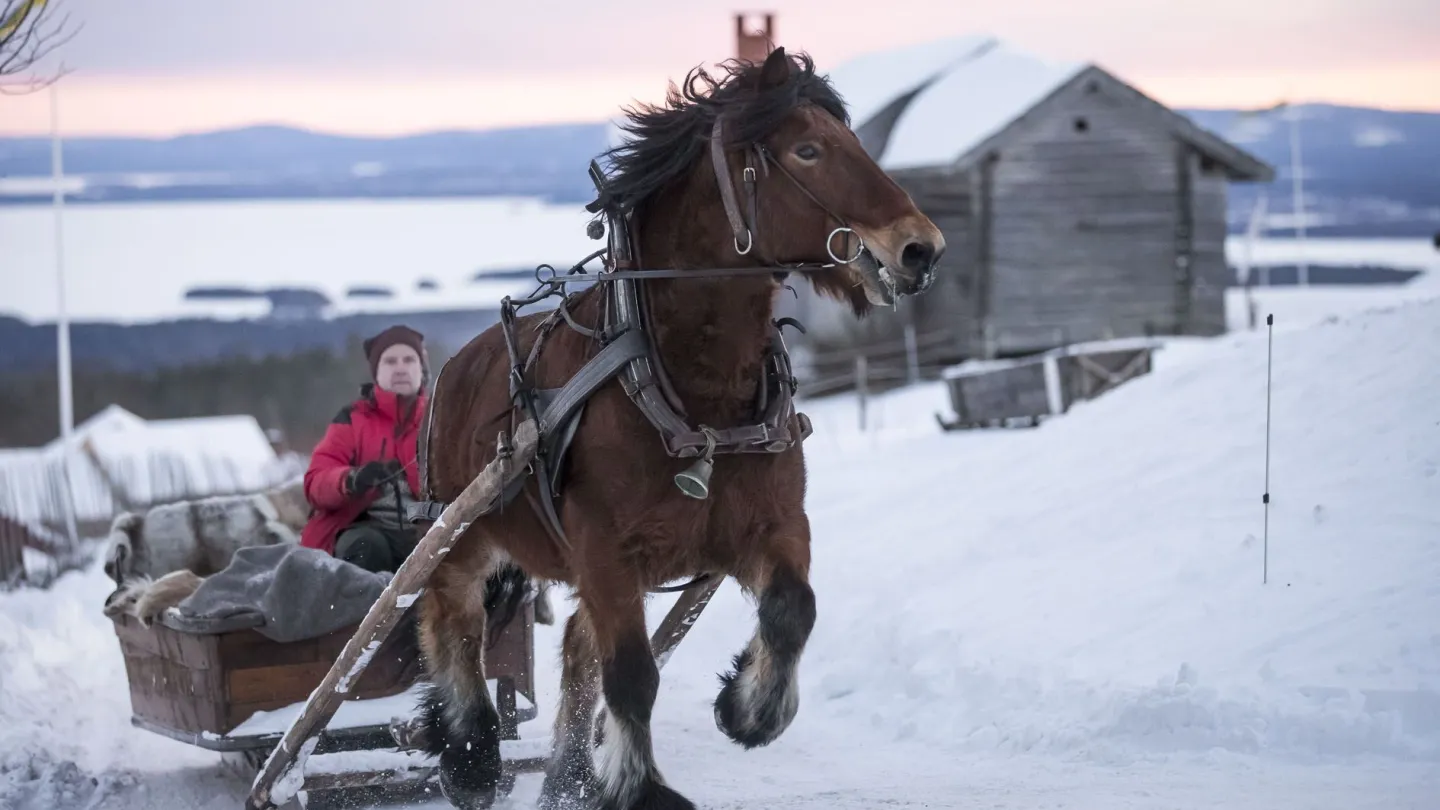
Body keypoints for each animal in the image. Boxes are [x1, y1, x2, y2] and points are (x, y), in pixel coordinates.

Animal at [414, 45, 944, 807]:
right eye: (808, 151)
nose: (921, 249)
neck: (700, 395)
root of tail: (456, 364)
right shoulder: (605, 553)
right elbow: (632, 673)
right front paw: (641, 786)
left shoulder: (769, 524)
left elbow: (793, 609)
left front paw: (748, 709)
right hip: (461, 532)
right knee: (452, 618)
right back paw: (470, 755)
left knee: (575, 646)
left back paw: (567, 777)